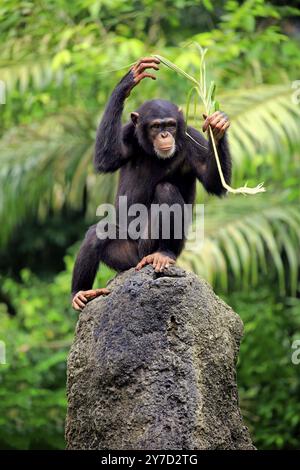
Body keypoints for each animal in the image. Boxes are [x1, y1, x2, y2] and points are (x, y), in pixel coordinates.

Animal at [71, 57, 231, 310]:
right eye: (156, 126)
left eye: (171, 125)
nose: (165, 135)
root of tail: (138, 261)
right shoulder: (127, 133)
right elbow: (107, 158)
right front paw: (130, 80)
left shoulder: (192, 139)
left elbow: (214, 182)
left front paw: (217, 126)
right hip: (125, 258)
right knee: (97, 234)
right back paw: (80, 292)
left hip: (149, 248)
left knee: (165, 190)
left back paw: (164, 254)